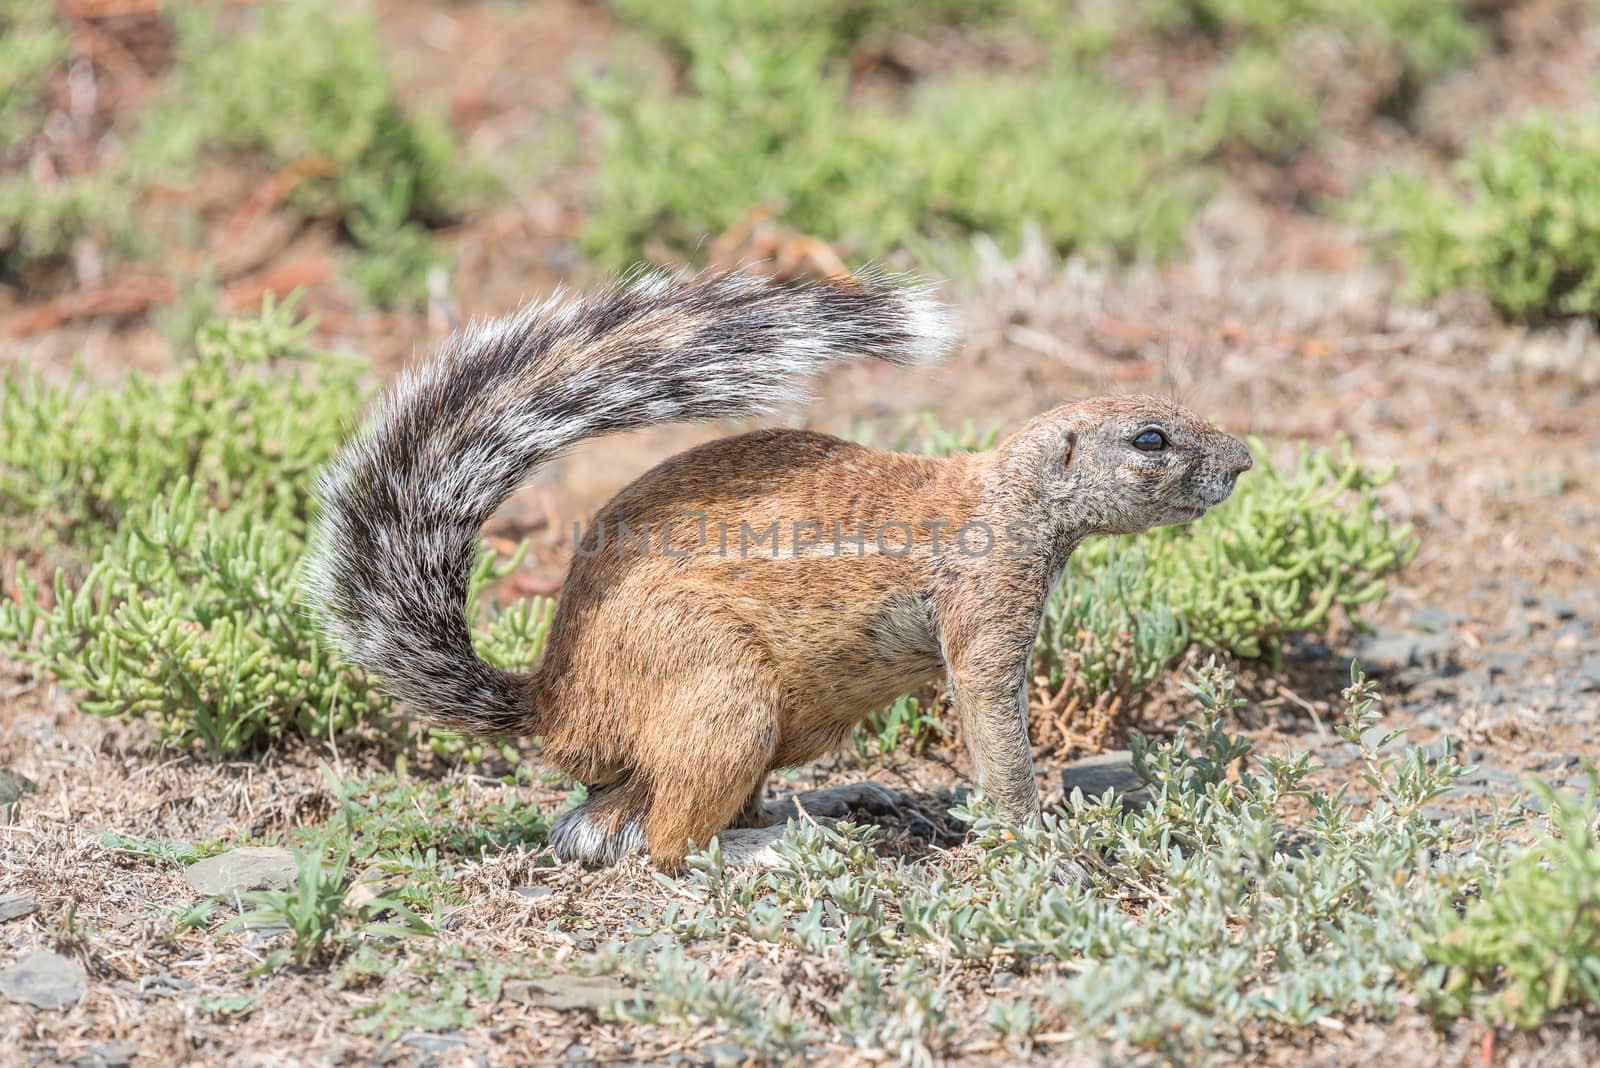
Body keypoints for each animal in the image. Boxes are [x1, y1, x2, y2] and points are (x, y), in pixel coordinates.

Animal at [300, 267, 1248, 869]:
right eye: (1151, 440)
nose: (1244, 459)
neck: (1002, 496)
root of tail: (554, 702)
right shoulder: (987, 610)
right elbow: (995, 728)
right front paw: (1041, 841)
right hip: (724, 693)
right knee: (668, 844)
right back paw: (780, 848)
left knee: (614, 823)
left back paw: (836, 805)